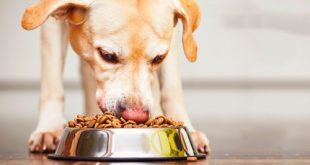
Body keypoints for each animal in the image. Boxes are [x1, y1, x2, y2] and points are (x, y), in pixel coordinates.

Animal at [21, 0, 209, 153]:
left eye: (158, 58)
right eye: (107, 55)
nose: (136, 116)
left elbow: (172, 88)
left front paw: (187, 128)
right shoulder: (50, 26)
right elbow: (52, 82)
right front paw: (49, 128)